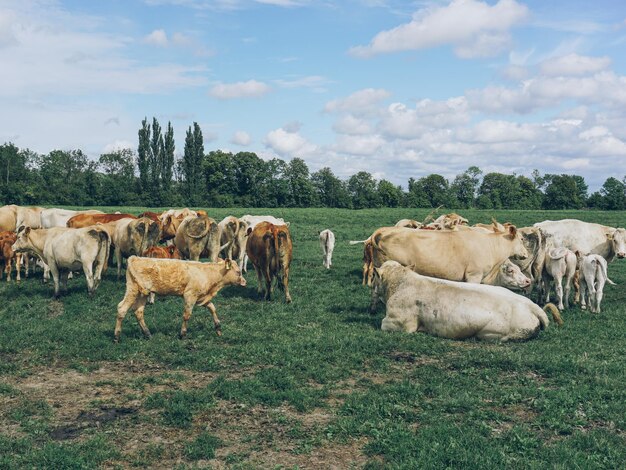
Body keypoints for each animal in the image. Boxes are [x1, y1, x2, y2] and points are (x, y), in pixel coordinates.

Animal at [114, 258, 246, 342]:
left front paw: (218, 328)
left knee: (138, 311)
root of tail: (134, 258)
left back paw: (147, 334)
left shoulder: (202, 297)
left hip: (142, 294)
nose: (245, 282)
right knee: (122, 308)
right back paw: (117, 336)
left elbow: (212, 308)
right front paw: (183, 334)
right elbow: (187, 315)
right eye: (238, 272)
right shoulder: (190, 295)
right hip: (133, 290)